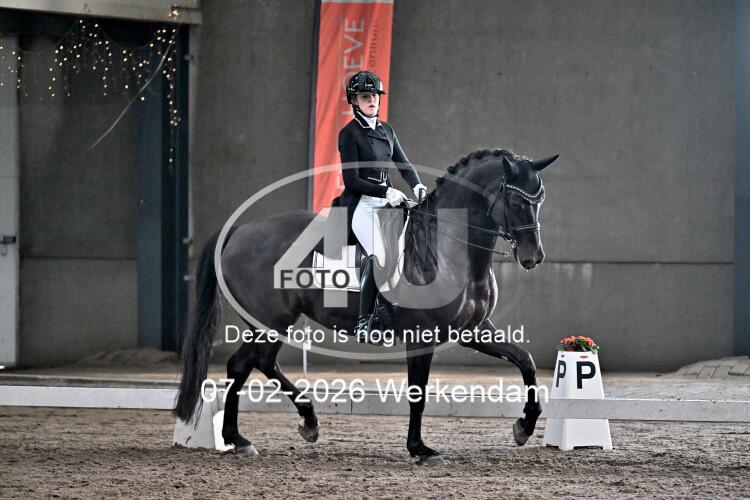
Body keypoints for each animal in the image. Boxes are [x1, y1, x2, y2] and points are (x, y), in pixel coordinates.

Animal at [174, 148, 558, 463]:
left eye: (540, 200)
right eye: (517, 202)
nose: (533, 257)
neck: (448, 251)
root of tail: (239, 231)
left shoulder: (473, 331)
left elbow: (525, 361)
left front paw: (524, 427)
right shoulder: (421, 337)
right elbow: (418, 393)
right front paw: (420, 450)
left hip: (274, 322)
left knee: (258, 363)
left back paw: (298, 425)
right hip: (270, 321)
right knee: (242, 365)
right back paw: (240, 438)